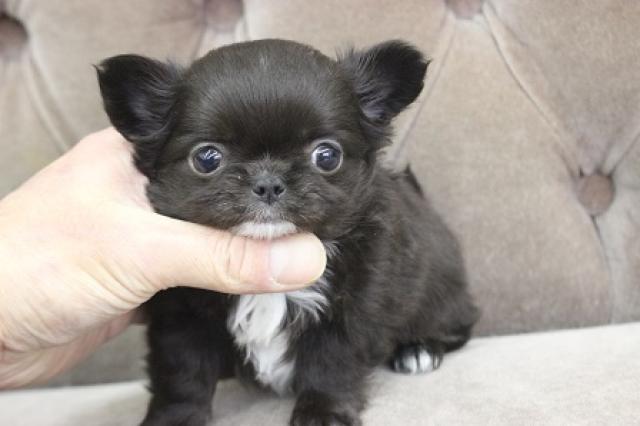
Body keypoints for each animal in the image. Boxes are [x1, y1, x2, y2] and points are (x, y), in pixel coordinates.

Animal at [97, 38, 479, 426]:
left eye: (327, 156)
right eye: (206, 159)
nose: (268, 182)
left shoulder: (351, 313)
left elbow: (331, 364)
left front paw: (323, 413)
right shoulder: (181, 319)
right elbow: (182, 374)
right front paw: (175, 418)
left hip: (441, 298)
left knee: (458, 327)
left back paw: (418, 350)